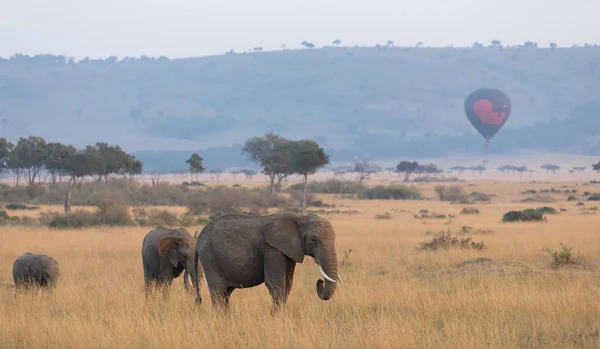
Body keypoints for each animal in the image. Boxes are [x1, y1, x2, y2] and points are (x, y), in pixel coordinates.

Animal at [193, 212, 340, 312]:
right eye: (314, 240)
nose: (320, 282)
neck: (300, 217)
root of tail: (199, 238)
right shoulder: (271, 249)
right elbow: (276, 284)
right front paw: (275, 317)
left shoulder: (289, 251)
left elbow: (288, 284)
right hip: (210, 257)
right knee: (218, 292)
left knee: (225, 294)